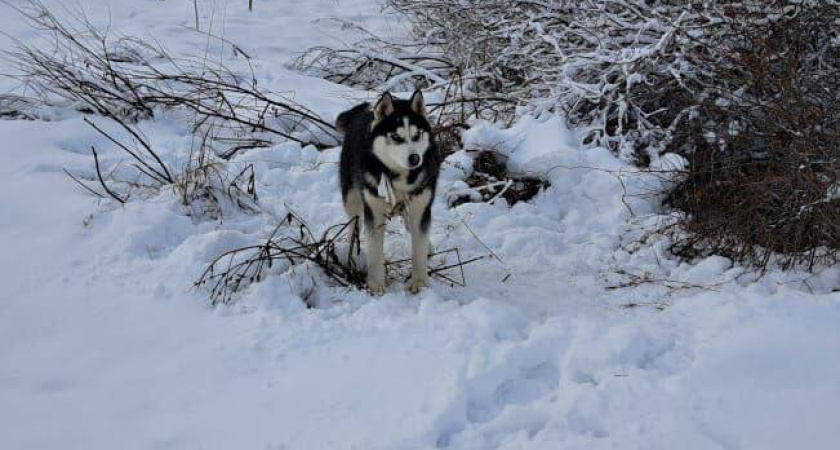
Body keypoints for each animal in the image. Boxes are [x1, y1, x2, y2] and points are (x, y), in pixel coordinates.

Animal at [336, 91, 442, 296]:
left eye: (417, 135)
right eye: (396, 137)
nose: (415, 158)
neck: (398, 177)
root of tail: (362, 111)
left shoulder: (420, 208)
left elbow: (418, 246)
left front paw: (419, 282)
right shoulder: (374, 211)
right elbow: (375, 251)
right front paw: (375, 284)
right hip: (352, 198)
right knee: (353, 223)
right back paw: (352, 252)